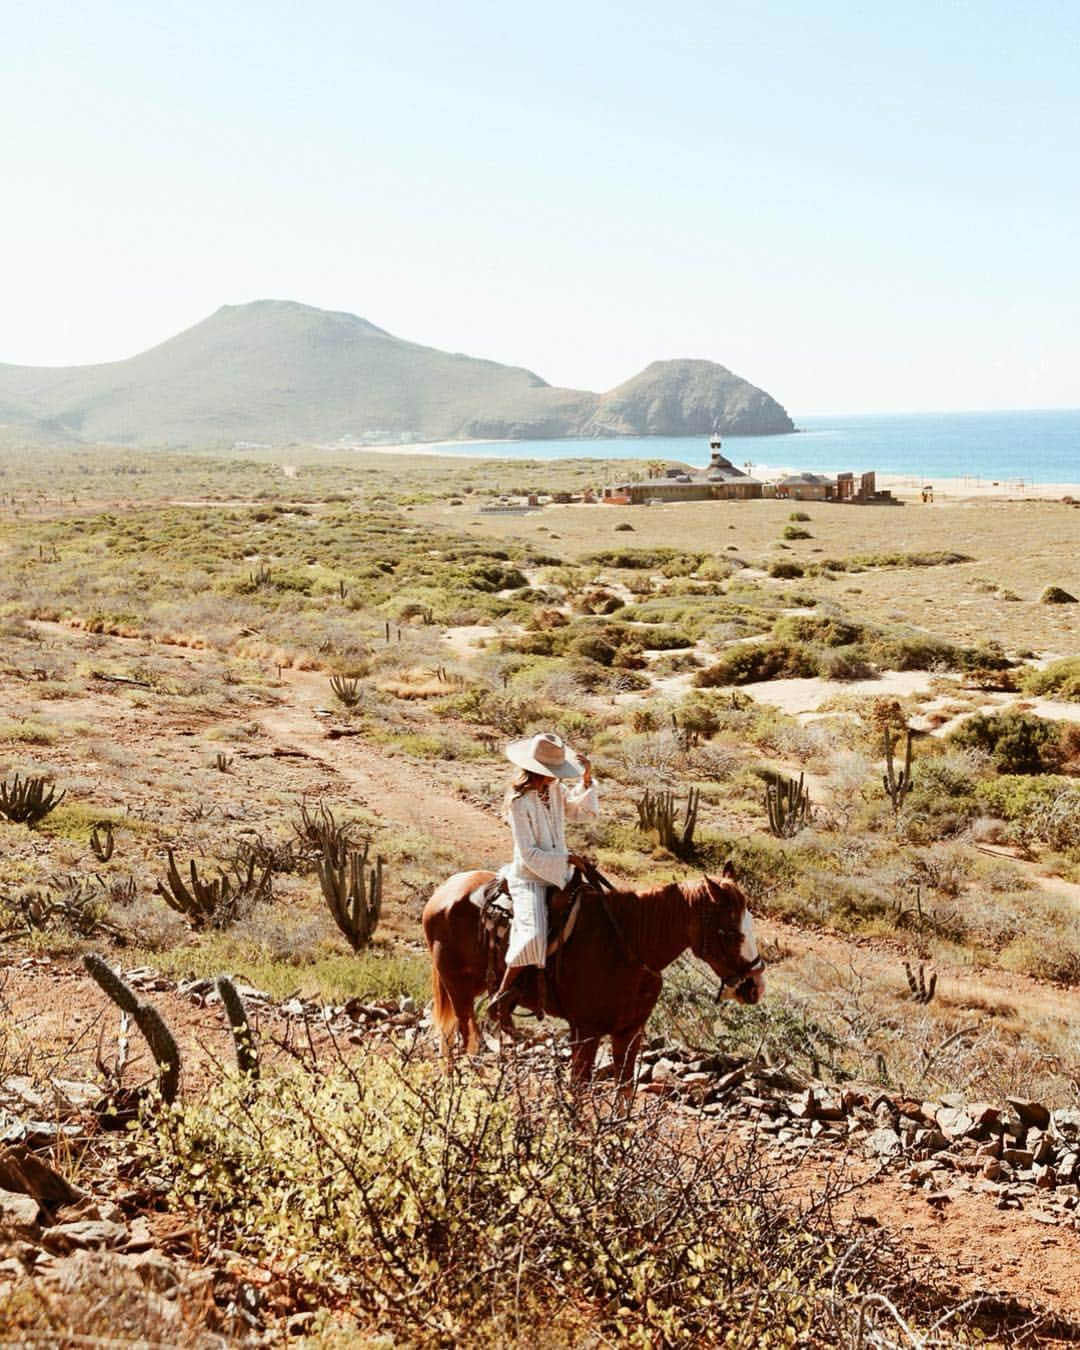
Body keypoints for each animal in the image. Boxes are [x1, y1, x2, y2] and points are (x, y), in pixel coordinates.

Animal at [421, 864, 766, 1085]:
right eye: (729, 932)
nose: (755, 986)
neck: (628, 944)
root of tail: (442, 894)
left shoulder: (629, 1033)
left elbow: (623, 1091)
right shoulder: (587, 1030)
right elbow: (580, 1087)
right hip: (458, 989)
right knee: (465, 1037)